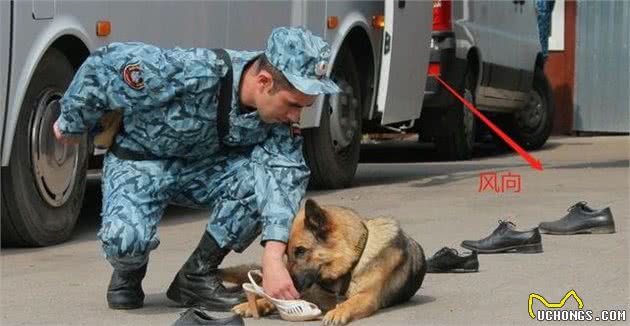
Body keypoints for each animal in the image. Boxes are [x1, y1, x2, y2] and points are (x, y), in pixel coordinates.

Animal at [233, 199, 430, 326]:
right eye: (286, 254)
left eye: (301, 251)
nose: (288, 286)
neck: (354, 258)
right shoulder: (314, 293)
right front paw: (258, 303)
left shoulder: (367, 297)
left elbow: (349, 302)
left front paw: (338, 311)